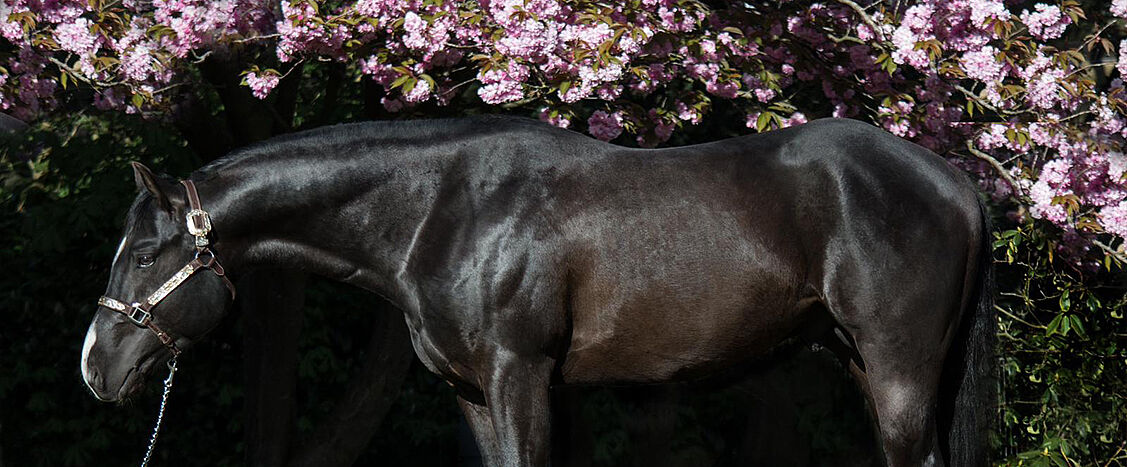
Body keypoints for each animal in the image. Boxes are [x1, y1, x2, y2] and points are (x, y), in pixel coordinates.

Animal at [80, 116, 994, 467]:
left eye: (145, 252)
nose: (95, 365)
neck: (444, 210)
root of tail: (952, 180)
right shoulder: (473, 393)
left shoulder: (519, 375)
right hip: (870, 366)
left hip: (898, 371)